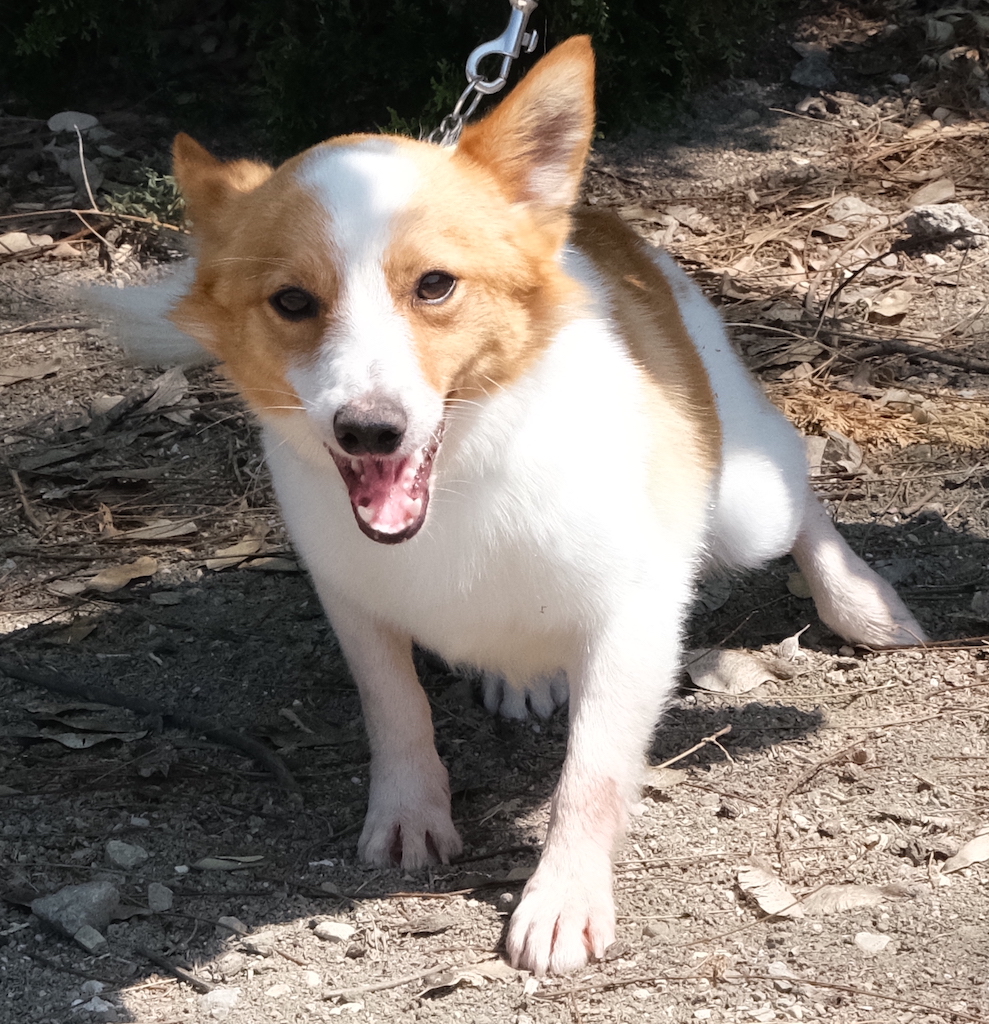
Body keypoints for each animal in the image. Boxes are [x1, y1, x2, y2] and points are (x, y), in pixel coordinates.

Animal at [96, 36, 926, 975]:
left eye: (434, 286)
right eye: (292, 302)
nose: (368, 430)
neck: (464, 476)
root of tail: (595, 221)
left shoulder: (633, 622)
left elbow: (592, 773)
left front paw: (562, 895)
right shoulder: (354, 602)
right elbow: (397, 712)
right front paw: (411, 811)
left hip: (747, 500)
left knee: (800, 501)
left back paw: (860, 600)